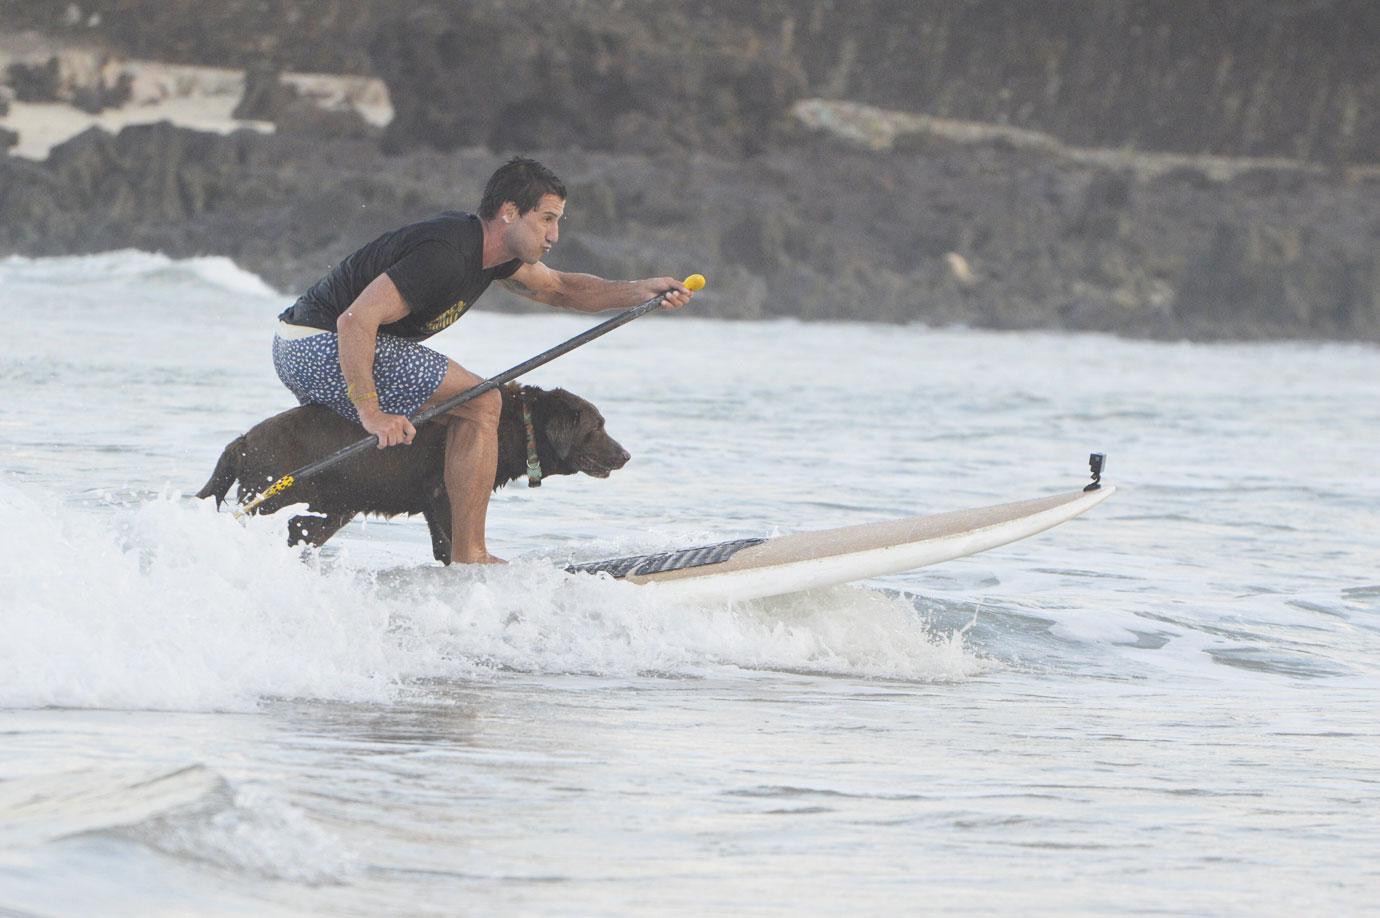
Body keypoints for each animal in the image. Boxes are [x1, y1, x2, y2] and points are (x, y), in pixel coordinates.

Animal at [197, 383, 629, 563]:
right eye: (597, 427)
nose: (625, 455)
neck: (517, 423)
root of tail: (242, 441)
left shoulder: (433, 502)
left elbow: (442, 546)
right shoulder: (444, 495)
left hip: (332, 507)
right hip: (271, 496)